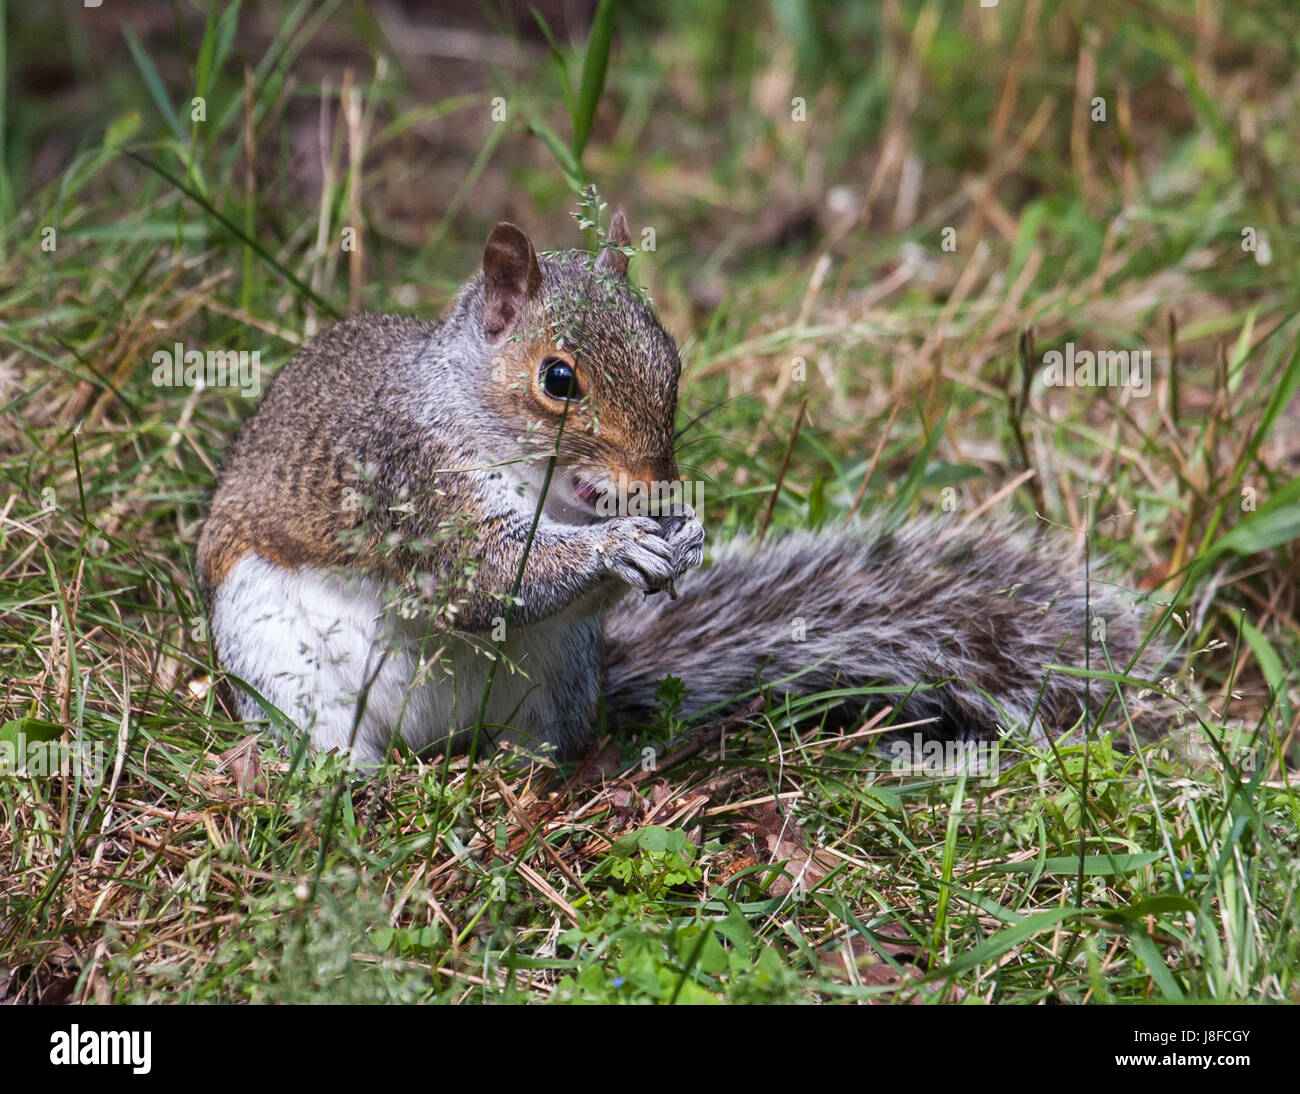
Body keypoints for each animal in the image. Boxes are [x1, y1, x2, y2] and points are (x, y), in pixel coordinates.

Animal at [197, 209, 1175, 763]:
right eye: (558, 379)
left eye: (671, 357)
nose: (659, 483)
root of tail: (435, 741)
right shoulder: (412, 481)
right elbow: (481, 577)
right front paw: (616, 545)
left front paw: (682, 533)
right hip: (281, 669)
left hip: (554, 683)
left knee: (534, 746)